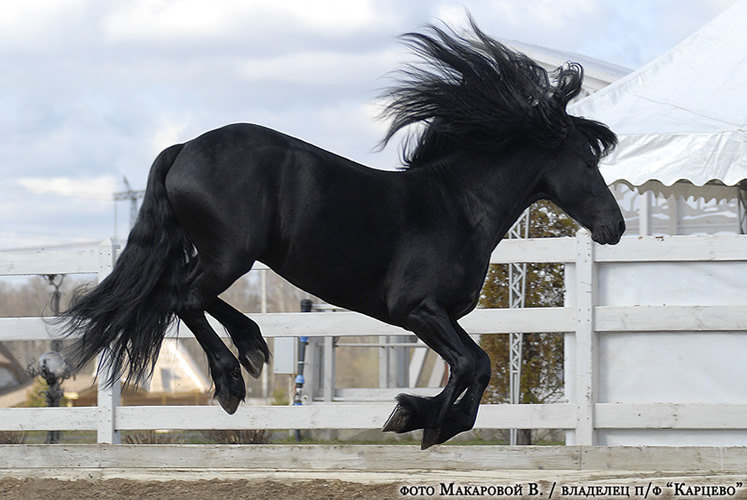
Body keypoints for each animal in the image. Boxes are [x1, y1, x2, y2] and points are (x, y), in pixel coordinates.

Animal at [61, 19, 624, 450]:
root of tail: (184, 148)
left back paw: (252, 347)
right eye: (585, 159)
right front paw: (422, 419)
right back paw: (230, 381)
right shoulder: (418, 310)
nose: (615, 227)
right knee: (185, 296)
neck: (458, 206)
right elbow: (473, 364)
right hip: (230, 255)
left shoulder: (438, 317)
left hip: (223, 255)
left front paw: (422, 418)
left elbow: (475, 368)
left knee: (179, 293)